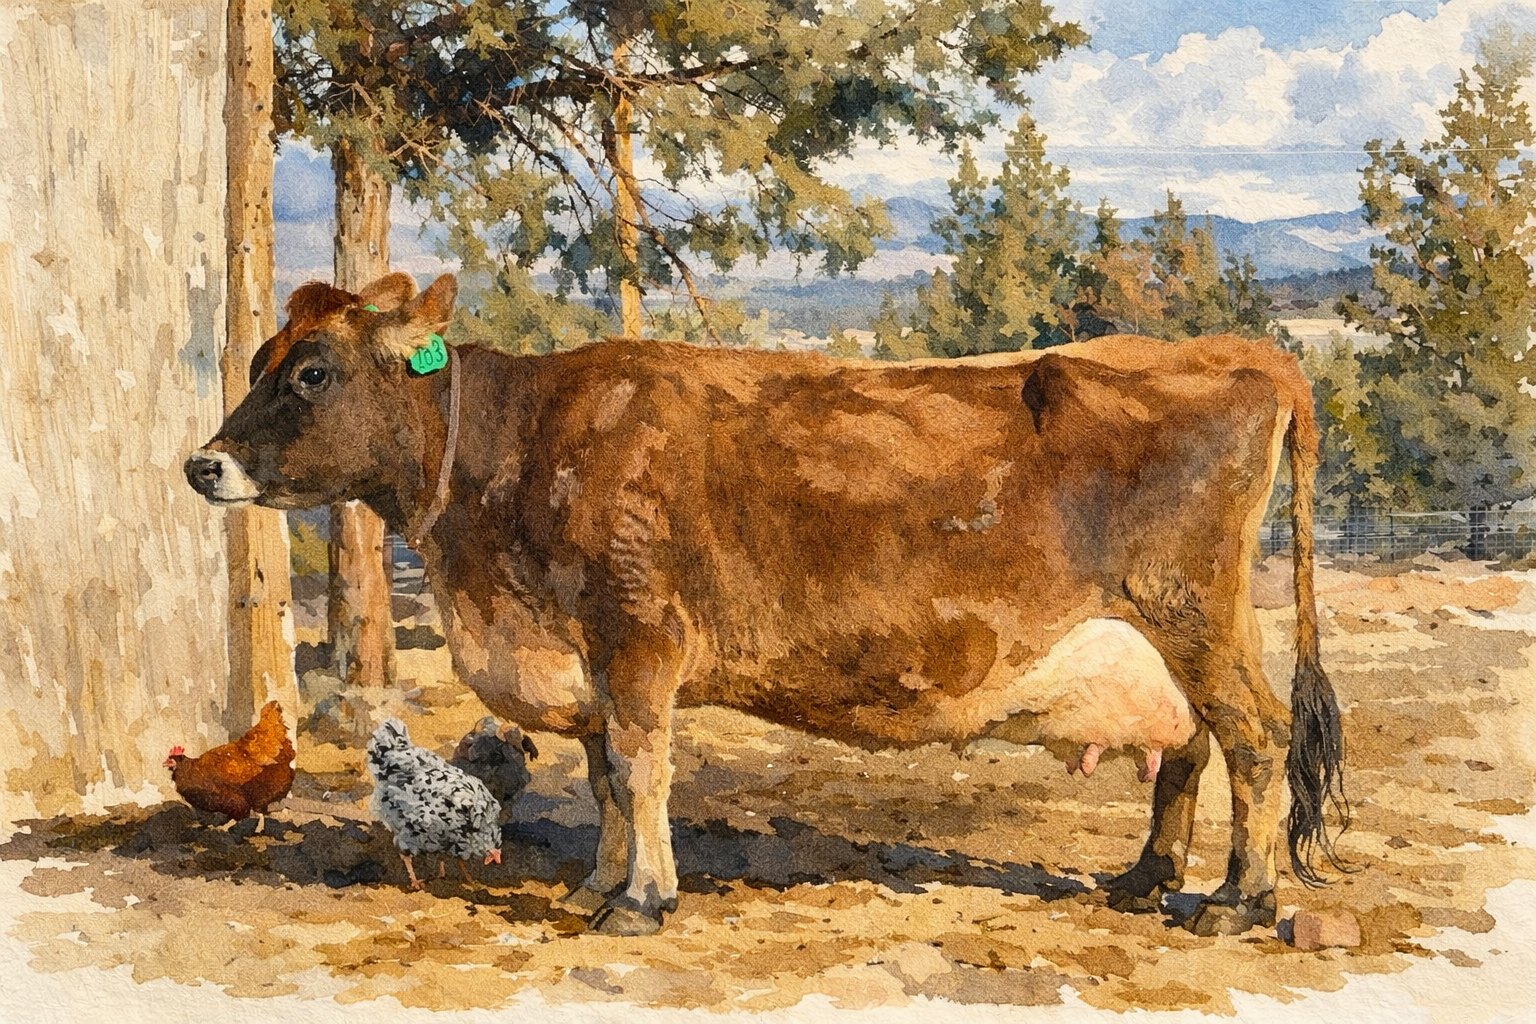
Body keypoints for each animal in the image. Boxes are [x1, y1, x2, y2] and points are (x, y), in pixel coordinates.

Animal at [185, 271, 1347, 937]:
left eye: (313, 372)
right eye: (264, 360)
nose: (202, 464)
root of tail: (1231, 350)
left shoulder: (637, 633)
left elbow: (641, 768)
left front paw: (642, 901)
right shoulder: (589, 657)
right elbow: (605, 778)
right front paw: (595, 887)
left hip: (1191, 610)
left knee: (1254, 737)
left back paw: (1236, 902)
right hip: (1165, 632)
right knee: (1190, 745)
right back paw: (1146, 876)